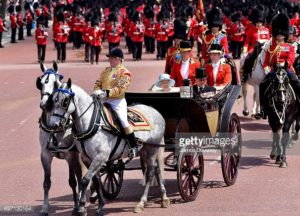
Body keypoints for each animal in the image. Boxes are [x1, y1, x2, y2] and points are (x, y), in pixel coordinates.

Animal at [35, 61, 84, 215]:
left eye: (55, 83)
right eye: (40, 83)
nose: (44, 104)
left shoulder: (70, 156)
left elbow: (73, 181)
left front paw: (77, 206)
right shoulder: (45, 155)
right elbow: (46, 183)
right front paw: (44, 208)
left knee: (80, 176)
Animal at [49, 79, 169, 216]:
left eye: (65, 101)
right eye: (52, 100)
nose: (54, 125)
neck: (92, 123)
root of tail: (155, 111)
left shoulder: (100, 157)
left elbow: (85, 180)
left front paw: (81, 207)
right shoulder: (88, 158)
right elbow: (96, 181)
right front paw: (100, 206)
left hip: (152, 149)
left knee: (150, 173)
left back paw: (141, 203)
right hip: (145, 150)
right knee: (156, 168)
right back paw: (164, 198)